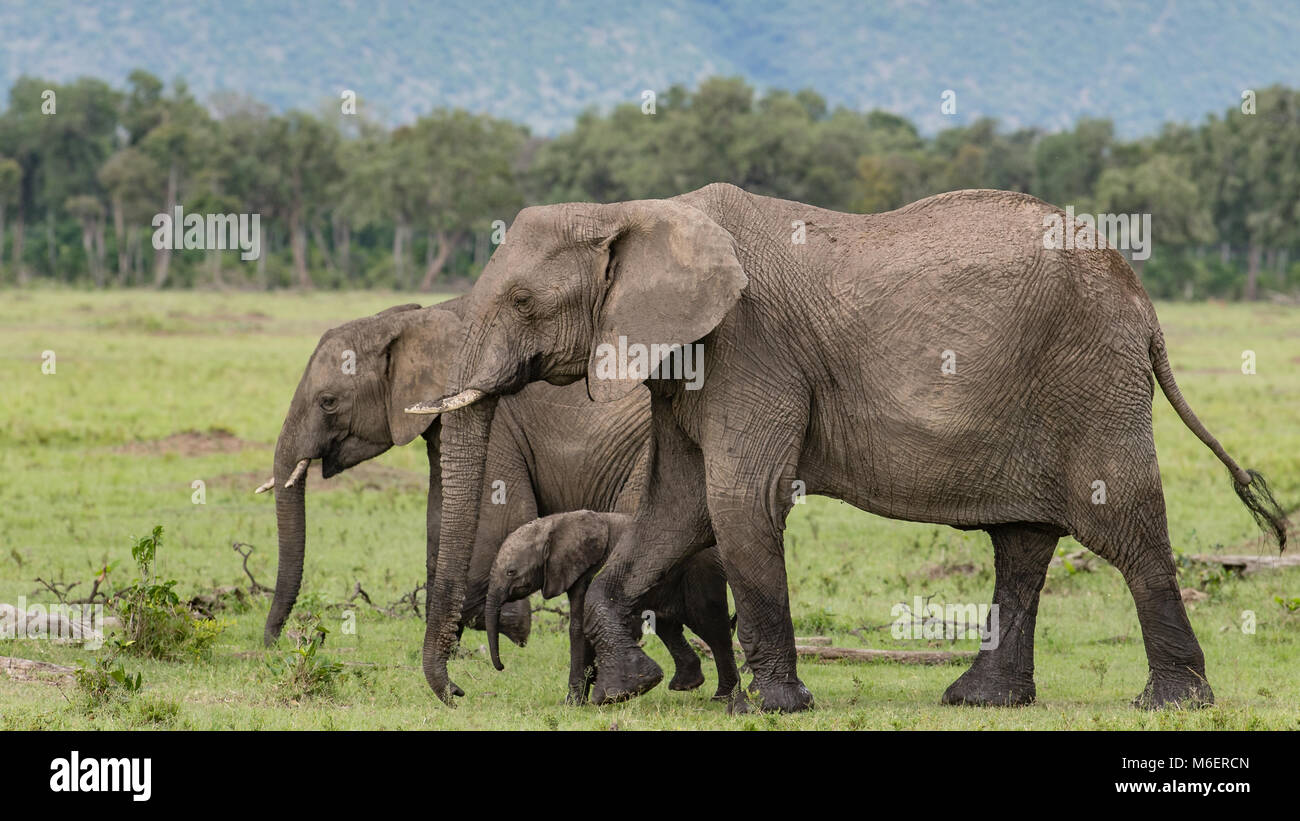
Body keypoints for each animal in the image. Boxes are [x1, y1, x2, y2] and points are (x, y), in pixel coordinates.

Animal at [486, 509, 743, 701]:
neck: (554, 522)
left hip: (701, 574)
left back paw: (720, 697)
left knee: (711, 627)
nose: (501, 667)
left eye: (511, 572)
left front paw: (573, 703)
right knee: (667, 626)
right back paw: (685, 686)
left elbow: (578, 628)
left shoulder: (591, 569)